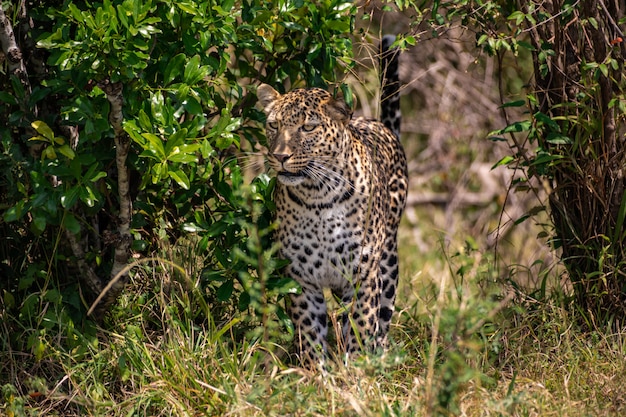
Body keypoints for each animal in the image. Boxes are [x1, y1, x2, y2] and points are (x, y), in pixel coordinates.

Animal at [256, 36, 408, 368]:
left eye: (308, 128)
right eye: (273, 125)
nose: (280, 156)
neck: (318, 197)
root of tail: (379, 124)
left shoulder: (363, 273)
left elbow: (362, 324)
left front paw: (356, 370)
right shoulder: (301, 278)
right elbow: (310, 331)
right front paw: (318, 374)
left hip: (388, 261)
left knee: (384, 315)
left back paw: (381, 356)